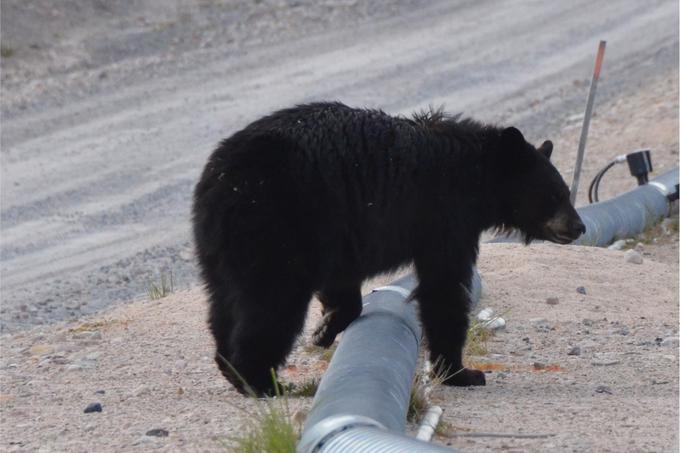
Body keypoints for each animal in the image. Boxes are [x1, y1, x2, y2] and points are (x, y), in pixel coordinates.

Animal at [191, 100, 584, 394]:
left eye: (566, 192)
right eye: (554, 195)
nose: (579, 226)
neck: (474, 176)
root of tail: (222, 177)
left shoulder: (342, 231)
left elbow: (343, 285)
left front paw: (325, 329)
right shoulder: (443, 216)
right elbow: (444, 287)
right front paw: (462, 373)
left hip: (223, 245)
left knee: (224, 301)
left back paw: (229, 365)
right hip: (275, 224)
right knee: (273, 301)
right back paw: (259, 381)